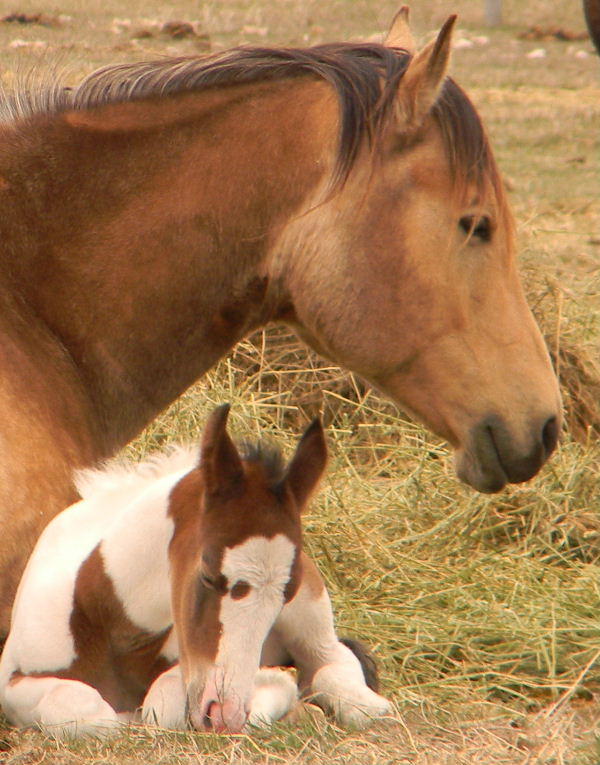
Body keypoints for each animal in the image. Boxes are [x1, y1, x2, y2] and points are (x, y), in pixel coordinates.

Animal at [0, 404, 391, 737]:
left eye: (288, 591)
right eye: (206, 574)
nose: (225, 713)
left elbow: (162, 704)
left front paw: (278, 684)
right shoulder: (12, 682)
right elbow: (82, 707)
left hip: (312, 624)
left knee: (333, 664)